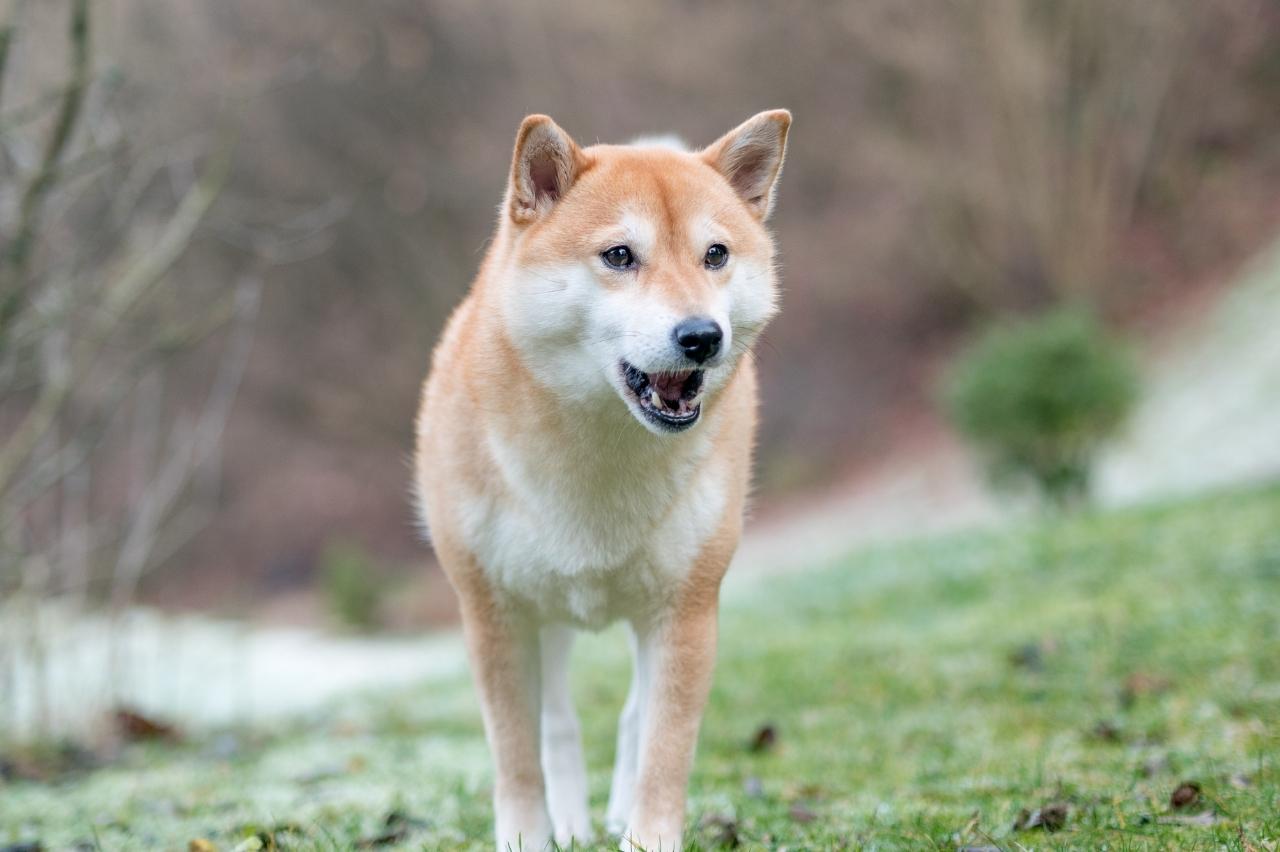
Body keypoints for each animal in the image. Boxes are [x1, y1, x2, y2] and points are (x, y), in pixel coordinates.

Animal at [414, 109, 788, 844]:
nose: (702, 336)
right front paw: (527, 838)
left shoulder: (686, 610)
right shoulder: (492, 613)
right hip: (545, 610)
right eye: (619, 256)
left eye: (716, 255)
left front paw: (648, 838)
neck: (599, 452)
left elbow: (664, 747)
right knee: (557, 721)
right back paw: (570, 821)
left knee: (634, 716)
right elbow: (516, 752)